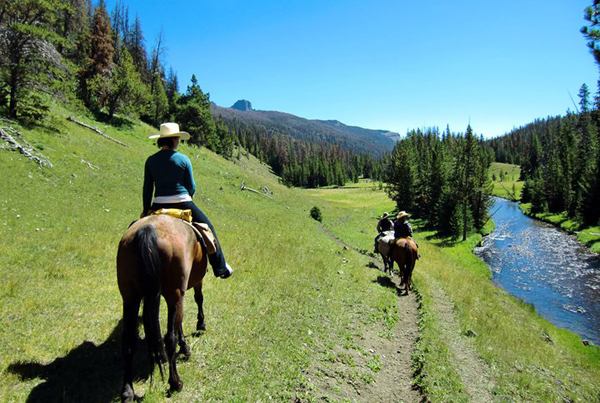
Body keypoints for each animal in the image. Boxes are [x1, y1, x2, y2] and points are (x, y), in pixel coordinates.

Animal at [116, 215, 209, 400]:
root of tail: (148, 230)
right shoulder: (187, 288)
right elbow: (198, 299)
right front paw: (199, 326)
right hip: (173, 293)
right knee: (169, 338)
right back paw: (175, 382)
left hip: (130, 297)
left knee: (128, 341)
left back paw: (127, 391)